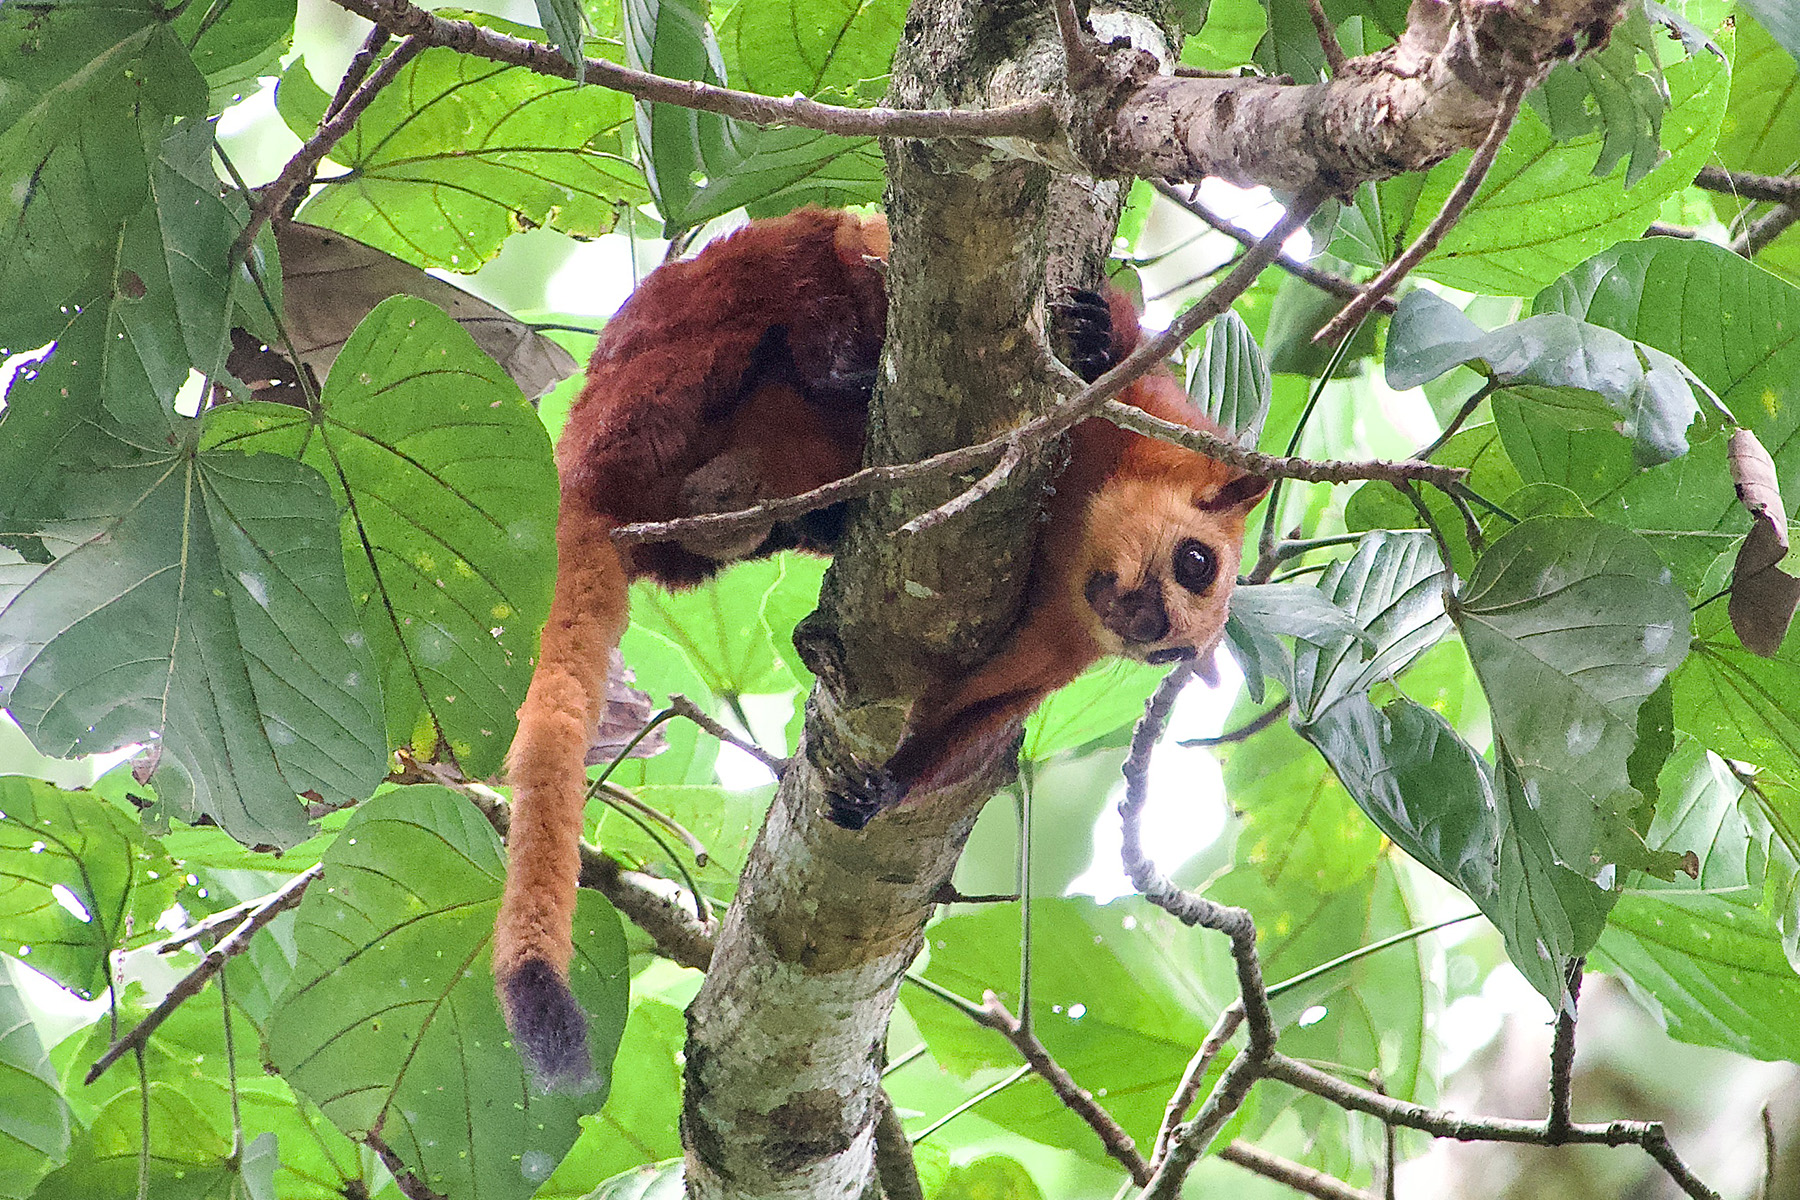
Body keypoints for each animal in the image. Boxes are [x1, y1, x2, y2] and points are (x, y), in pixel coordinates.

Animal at [493, 206, 1268, 1085]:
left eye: (1172, 654)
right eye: (1197, 564)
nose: (1150, 629)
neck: (1074, 533)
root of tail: (585, 465)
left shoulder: (1056, 651)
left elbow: (983, 729)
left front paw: (887, 789)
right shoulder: (1150, 414)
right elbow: (1116, 350)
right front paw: (1100, 334)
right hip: (663, 361)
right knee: (806, 250)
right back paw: (834, 370)